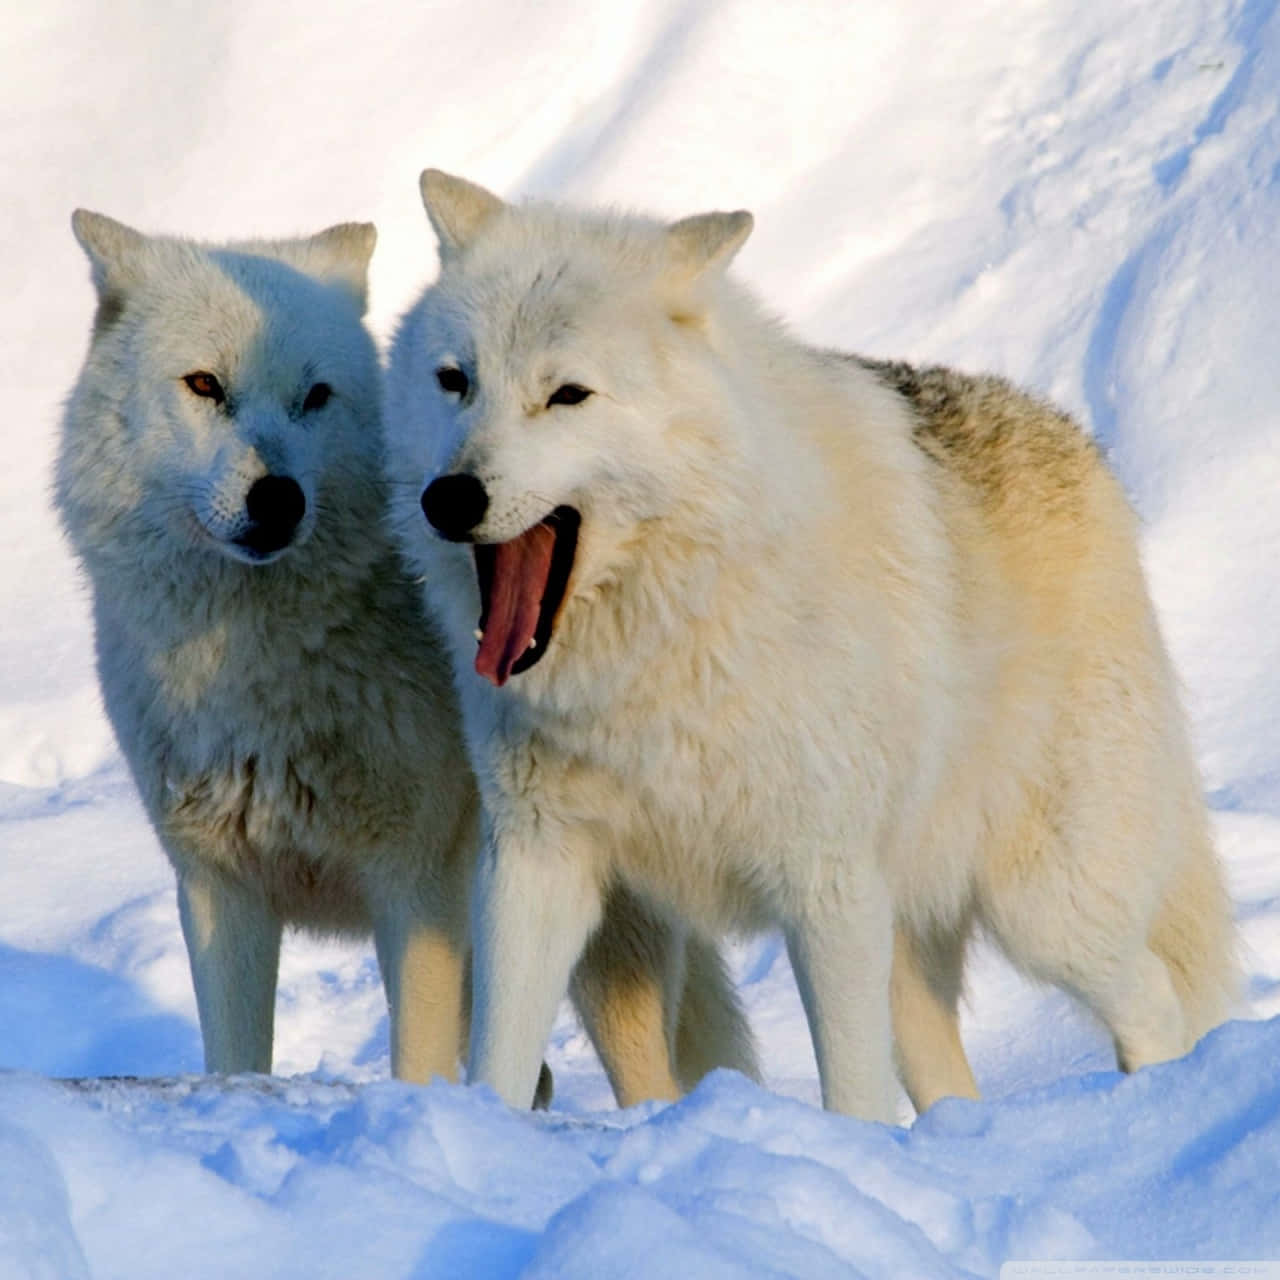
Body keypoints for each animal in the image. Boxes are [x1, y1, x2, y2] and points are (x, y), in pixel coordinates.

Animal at [56, 211, 757, 1102]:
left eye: (315, 396)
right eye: (205, 385)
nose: (277, 497)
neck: (259, 667)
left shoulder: (415, 888)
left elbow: (415, 1065)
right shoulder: (219, 890)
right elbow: (237, 1063)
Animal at [384, 170, 1238, 1120]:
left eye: (566, 395)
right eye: (455, 381)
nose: (449, 497)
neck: (667, 640)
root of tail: (1083, 446)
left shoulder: (825, 881)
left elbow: (852, 1097)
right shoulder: (536, 861)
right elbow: (498, 1058)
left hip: (1043, 908)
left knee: (1155, 998)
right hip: (910, 955)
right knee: (954, 1081)